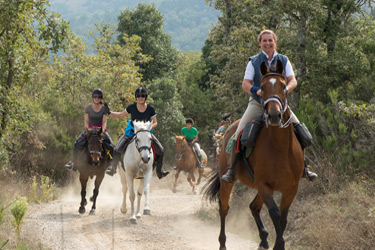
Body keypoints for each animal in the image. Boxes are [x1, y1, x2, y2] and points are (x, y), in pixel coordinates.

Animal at [206, 60, 306, 250]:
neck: (280, 147)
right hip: (228, 181)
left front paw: (275, 242)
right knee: (224, 208)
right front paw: (279, 244)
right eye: (263, 87)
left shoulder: (291, 187)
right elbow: (275, 213)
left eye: (283, 86)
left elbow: (283, 218)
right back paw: (223, 243)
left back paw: (264, 239)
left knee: (253, 207)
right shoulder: (263, 185)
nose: (274, 115)